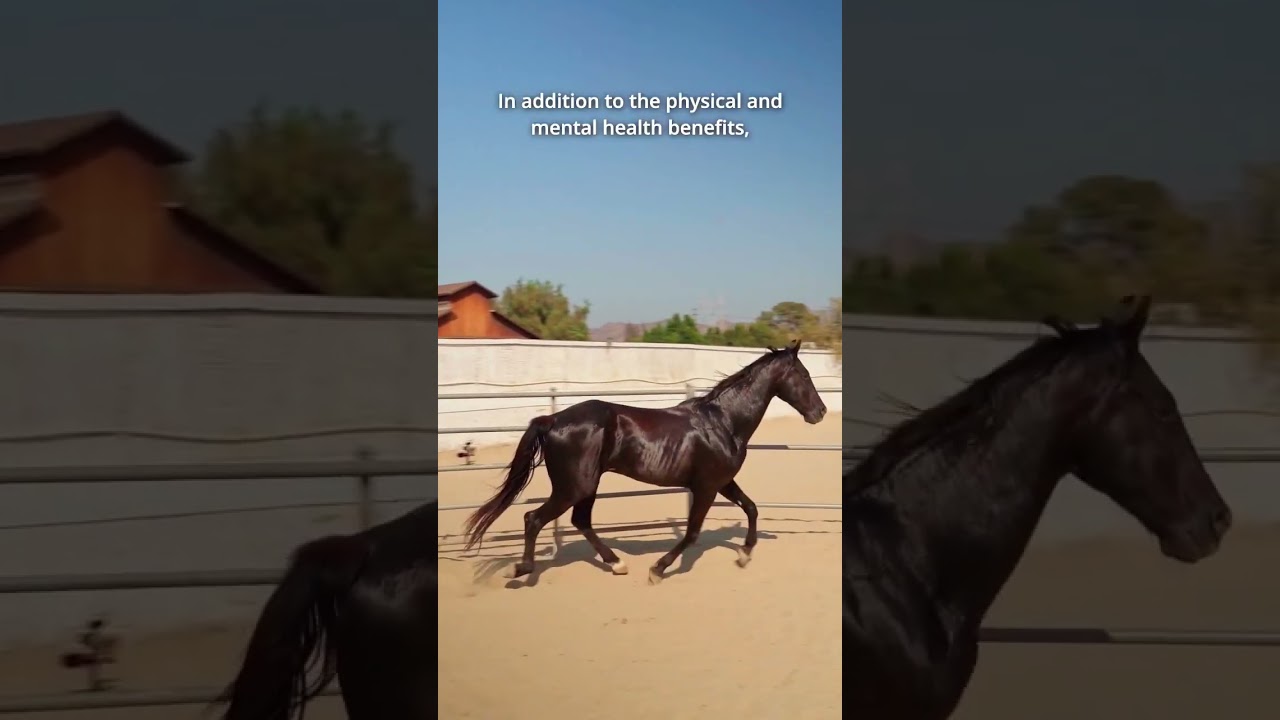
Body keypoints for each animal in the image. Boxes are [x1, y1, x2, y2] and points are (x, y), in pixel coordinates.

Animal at [463, 339, 828, 585]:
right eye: (804, 375)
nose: (821, 412)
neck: (724, 422)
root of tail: (551, 420)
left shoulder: (722, 482)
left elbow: (751, 508)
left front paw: (745, 553)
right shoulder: (707, 486)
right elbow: (692, 532)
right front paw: (658, 570)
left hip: (587, 485)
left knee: (580, 521)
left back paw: (616, 564)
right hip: (573, 486)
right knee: (534, 519)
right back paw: (522, 569)